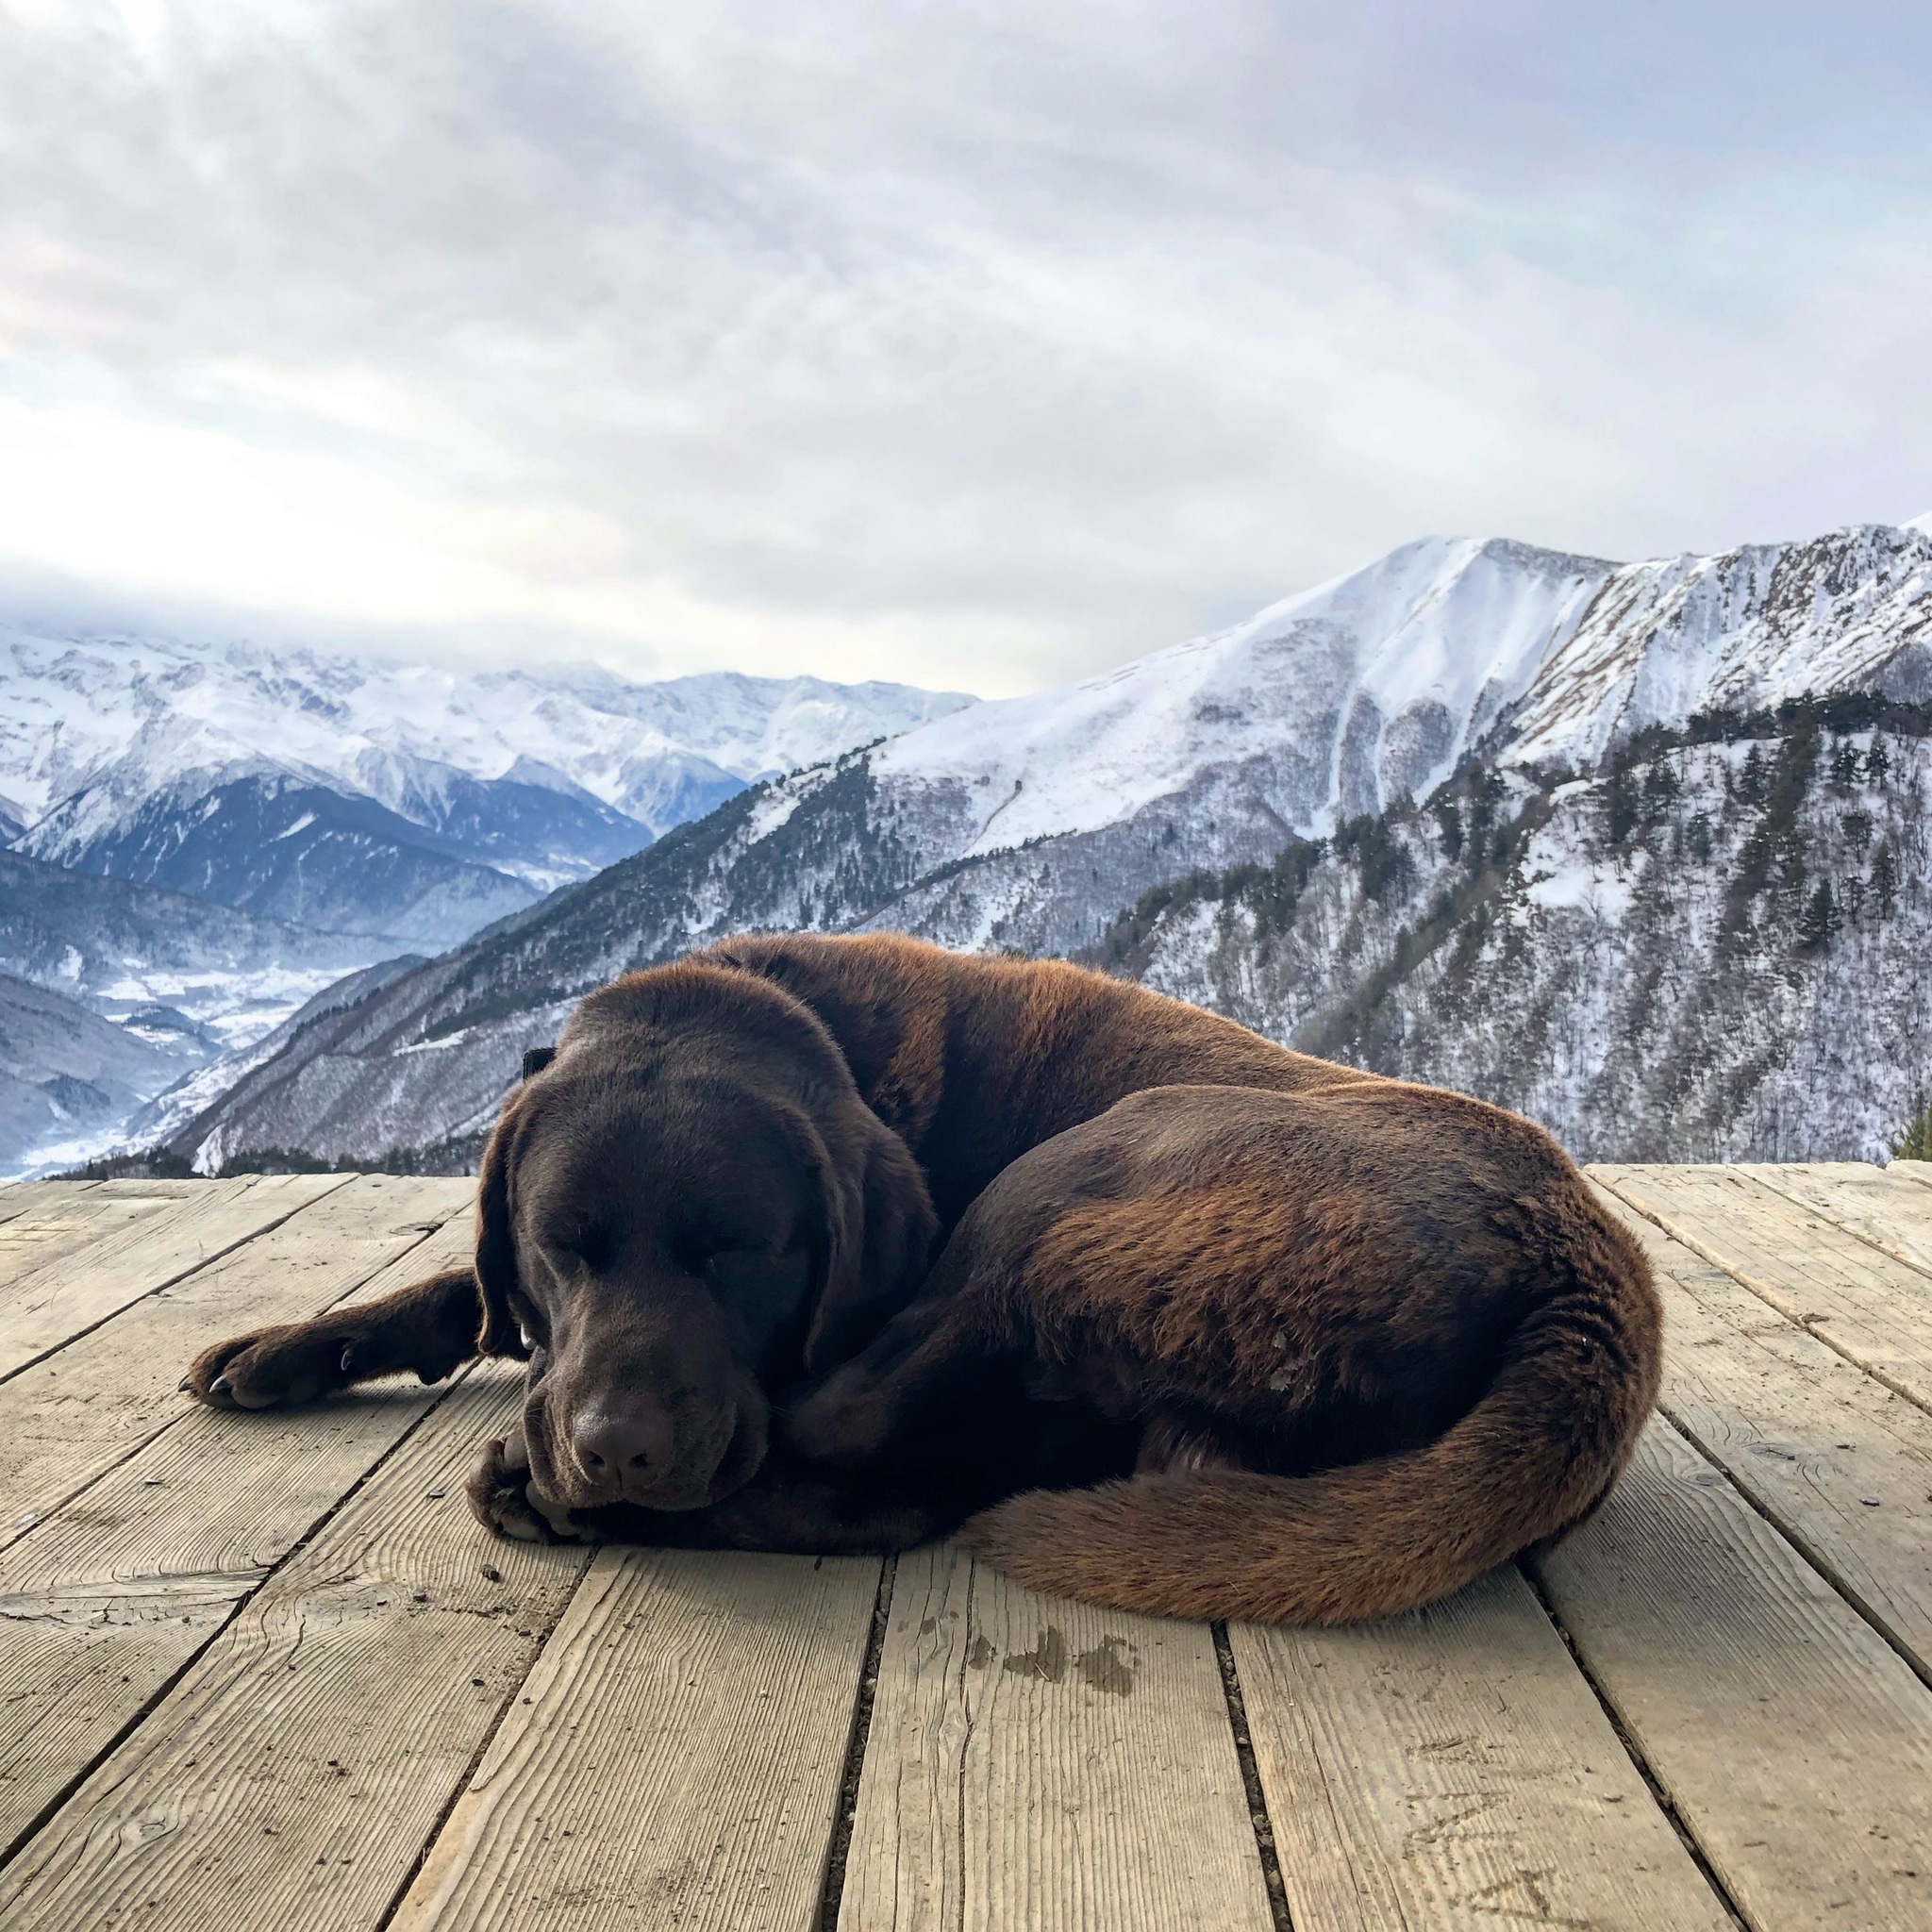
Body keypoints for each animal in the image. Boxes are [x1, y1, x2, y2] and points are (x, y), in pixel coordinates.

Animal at [181, 927, 1661, 1623]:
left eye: (745, 1254)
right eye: (563, 1244)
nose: (619, 1450)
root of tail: (1587, 1290)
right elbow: (462, 1291)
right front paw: (289, 1344)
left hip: (1072, 1179)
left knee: (887, 1472)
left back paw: (544, 1497)